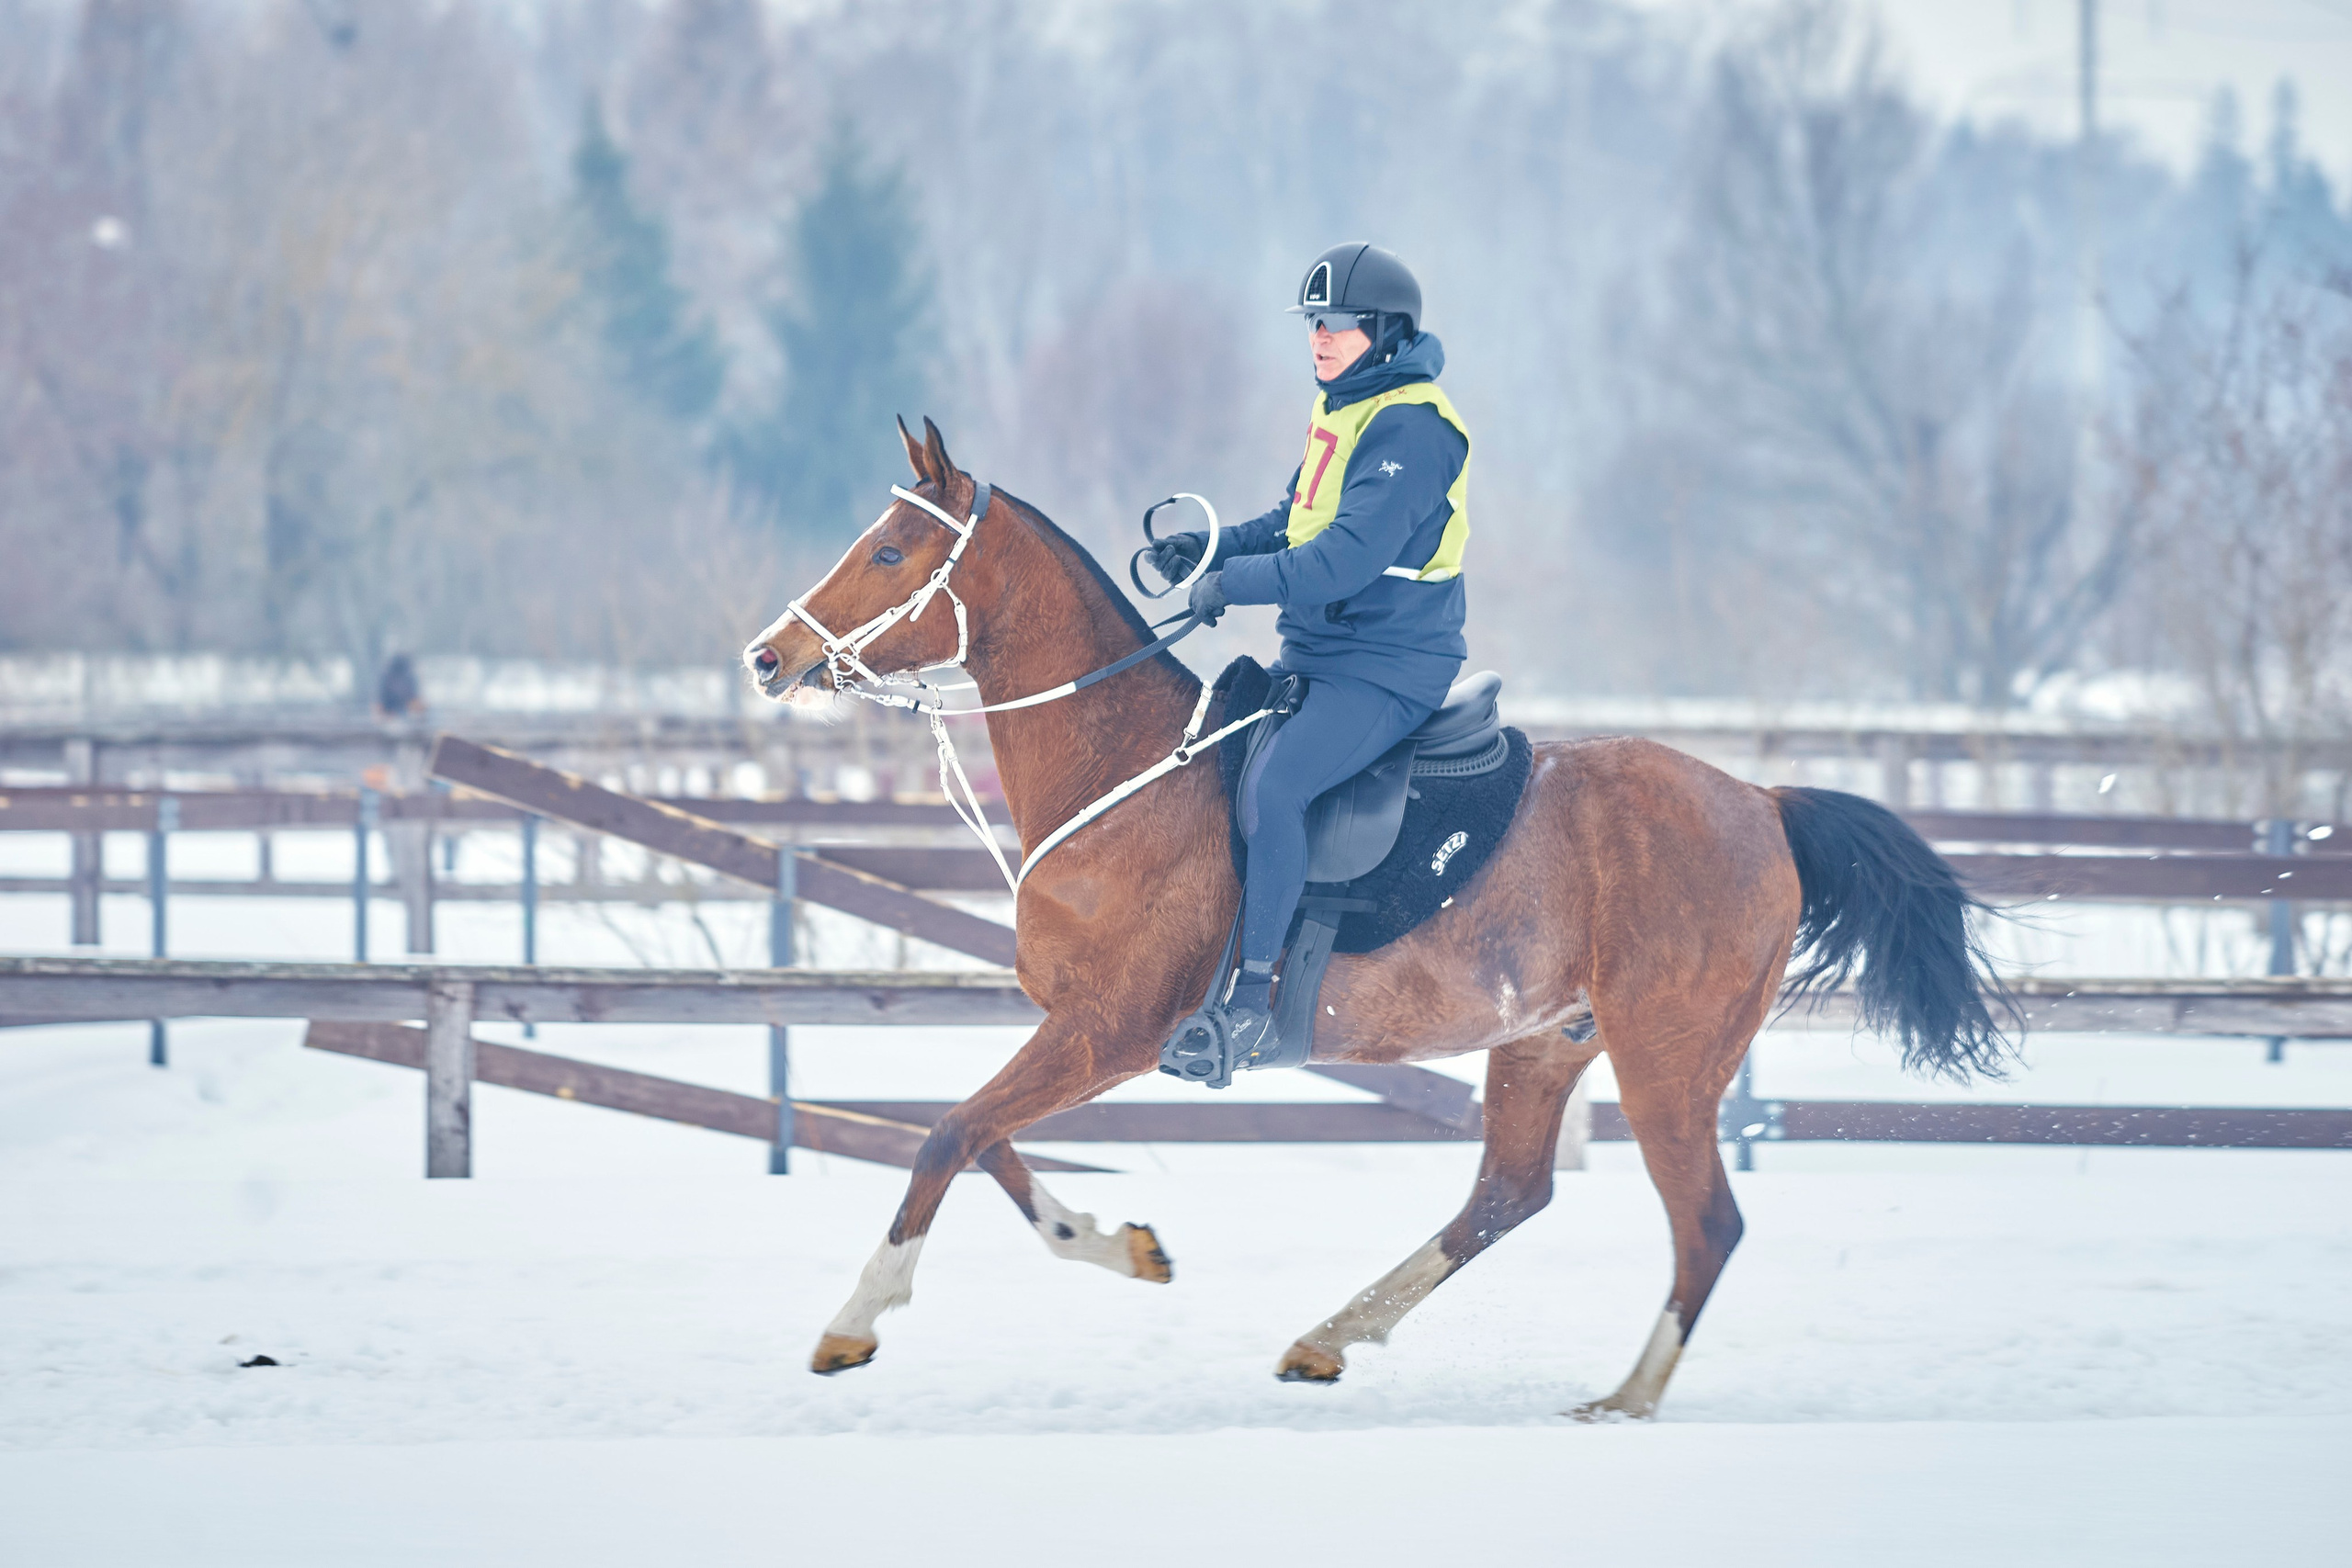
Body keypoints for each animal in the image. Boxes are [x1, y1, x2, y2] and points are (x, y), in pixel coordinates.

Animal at [743, 418, 2012, 1417]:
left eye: (889, 549)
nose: (768, 656)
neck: (1129, 769)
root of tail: (1761, 802)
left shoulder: (1108, 1032)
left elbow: (947, 1135)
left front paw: (857, 1317)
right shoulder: (1077, 1035)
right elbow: (986, 1141)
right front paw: (1120, 1247)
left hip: (1667, 1056)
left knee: (1705, 1225)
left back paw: (1624, 1399)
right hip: (1545, 1042)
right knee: (1508, 1195)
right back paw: (1331, 1336)